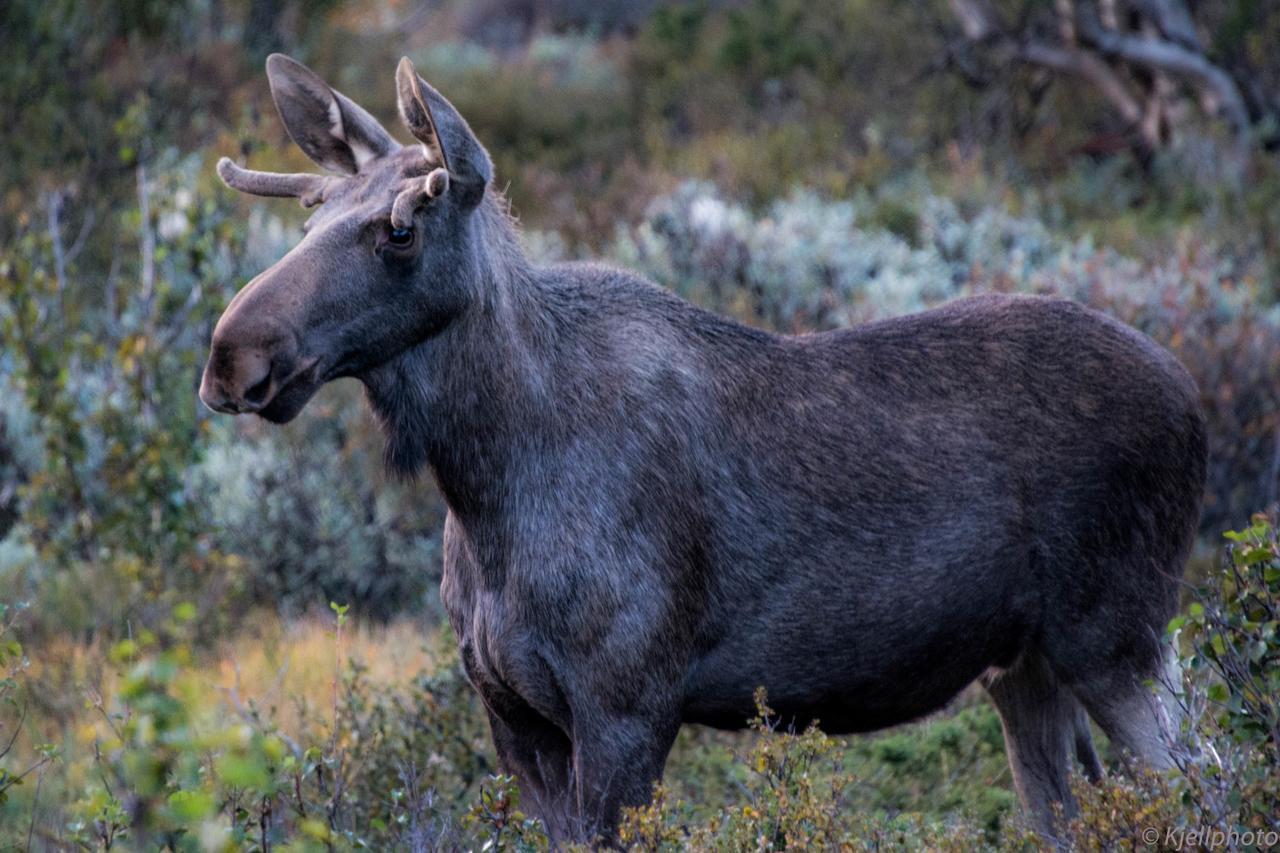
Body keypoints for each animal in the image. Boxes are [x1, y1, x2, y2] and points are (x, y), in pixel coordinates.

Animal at [204, 54, 1203, 845]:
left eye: (400, 231)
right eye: (309, 220)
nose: (230, 356)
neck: (483, 490)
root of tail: (1194, 405)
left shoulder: (628, 704)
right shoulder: (512, 715)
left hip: (1113, 635)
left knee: (1204, 780)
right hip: (1023, 665)